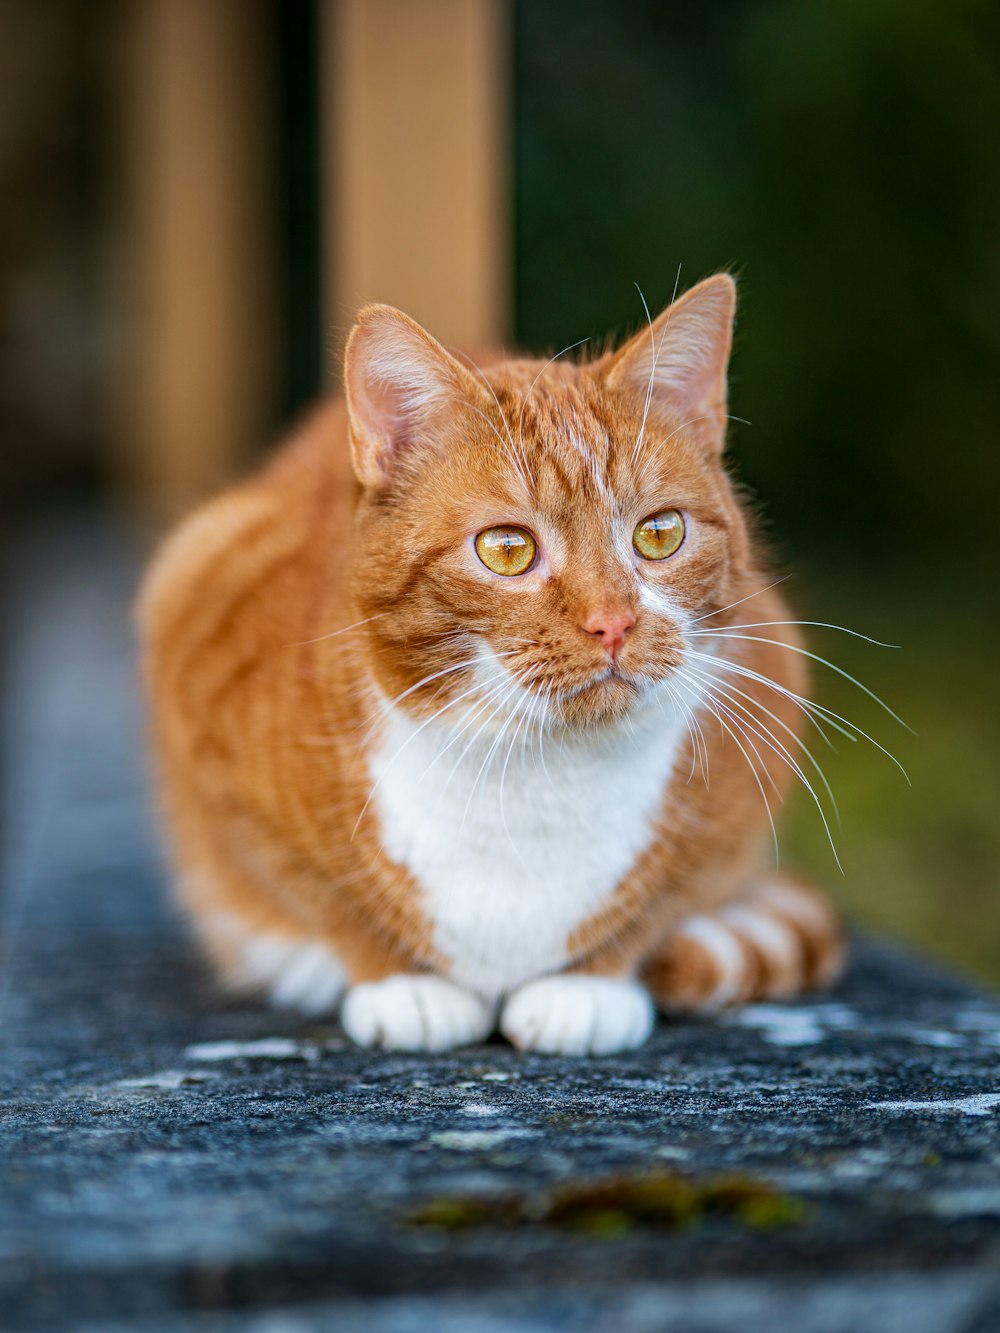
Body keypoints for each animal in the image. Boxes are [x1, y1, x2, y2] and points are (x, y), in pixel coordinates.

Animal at [139, 275, 848, 1055]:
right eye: (507, 549)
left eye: (659, 535)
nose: (614, 622)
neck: (534, 778)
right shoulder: (198, 636)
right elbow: (321, 892)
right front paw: (400, 983)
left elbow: (661, 903)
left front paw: (590, 985)